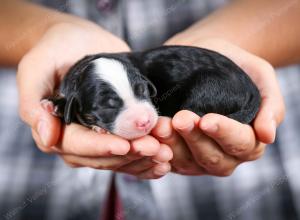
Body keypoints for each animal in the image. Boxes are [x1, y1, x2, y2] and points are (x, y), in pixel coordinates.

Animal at [48, 45, 260, 140]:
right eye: (108, 105)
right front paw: (55, 104)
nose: (145, 122)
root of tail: (251, 87)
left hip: (209, 86)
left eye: (142, 90)